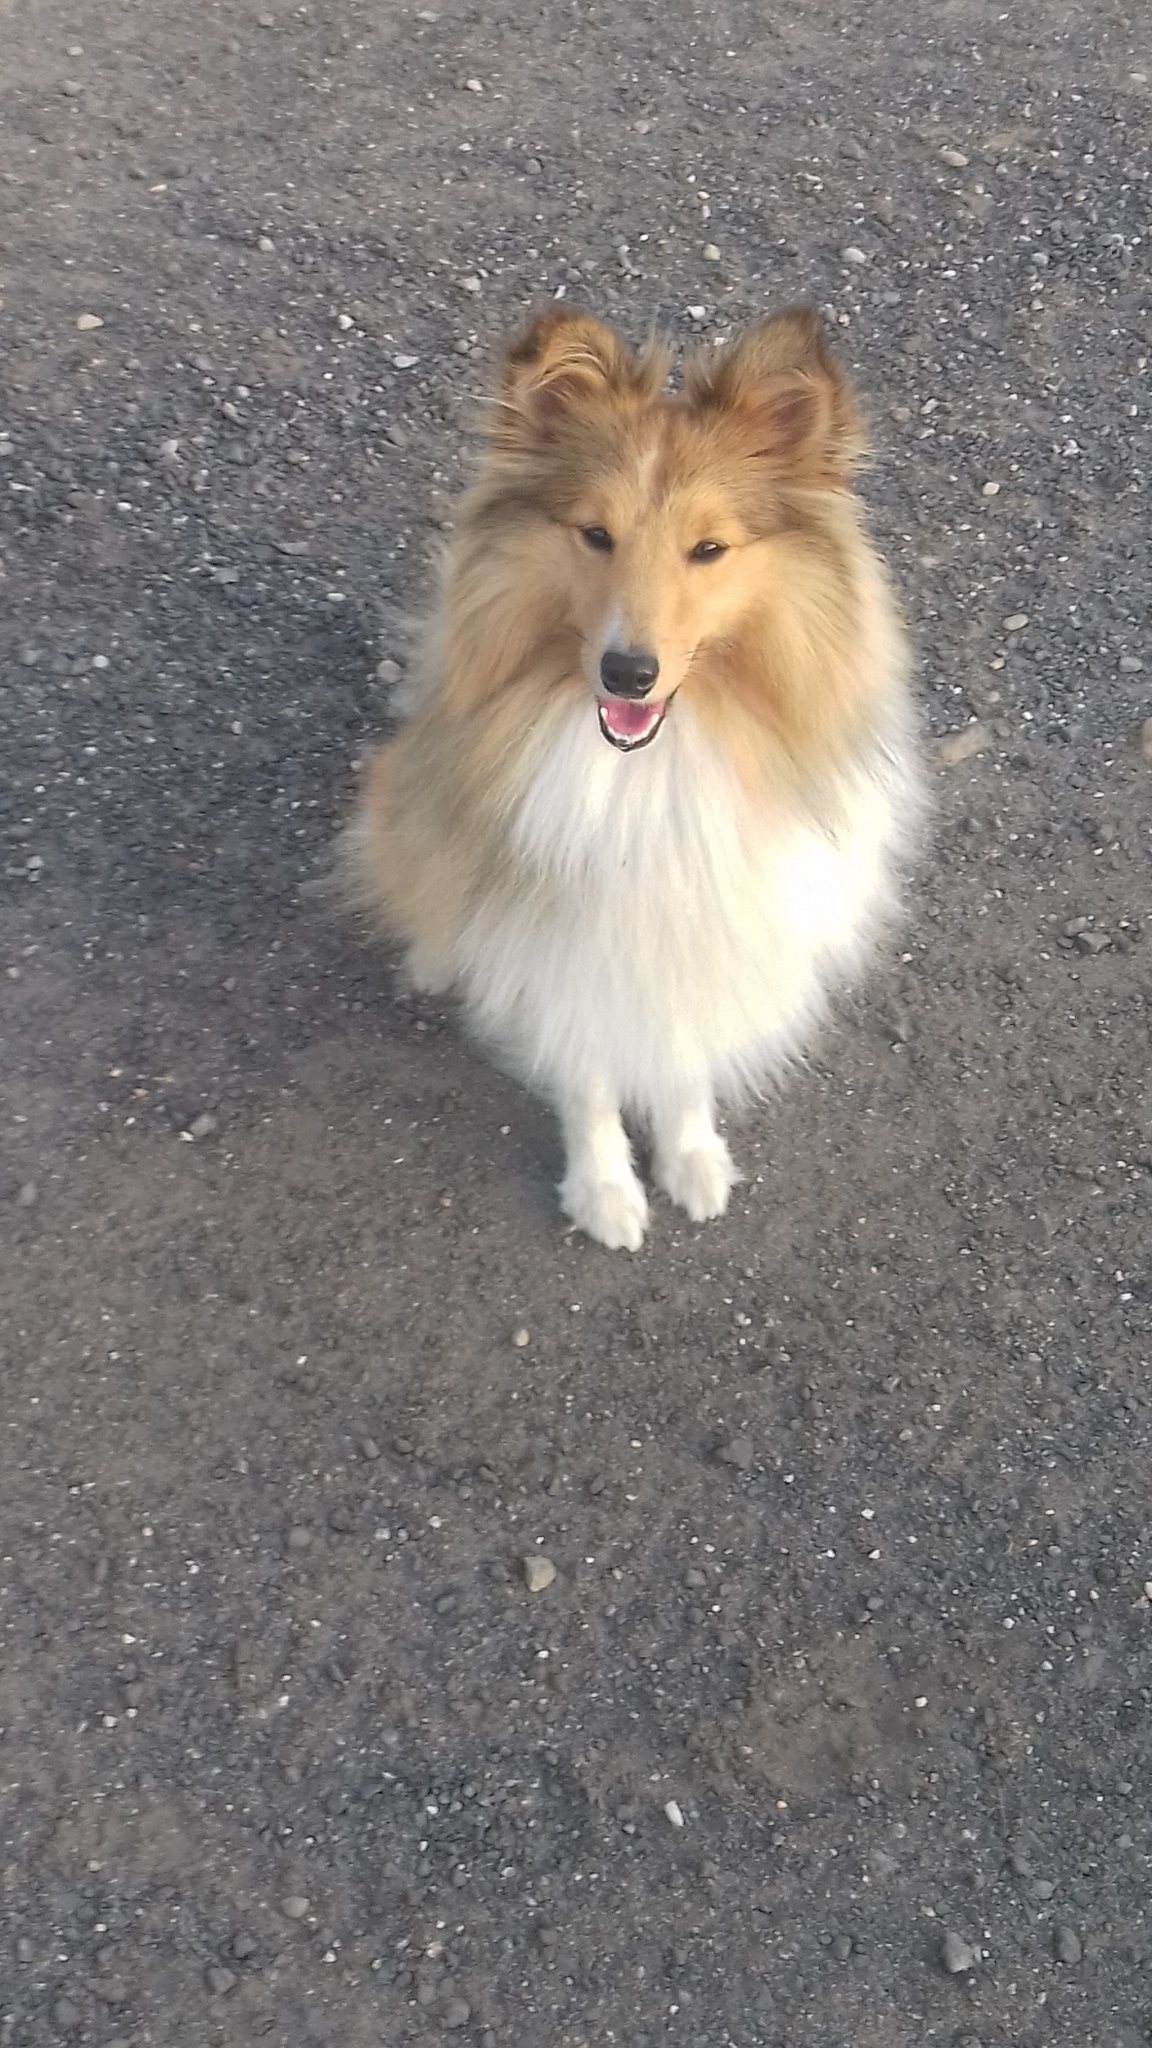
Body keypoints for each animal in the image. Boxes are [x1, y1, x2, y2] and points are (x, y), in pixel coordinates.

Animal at [342, 305, 916, 1249]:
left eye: (709, 548)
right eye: (595, 534)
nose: (628, 674)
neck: (643, 771)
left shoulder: (688, 918)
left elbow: (676, 1047)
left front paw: (691, 1159)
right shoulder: (562, 933)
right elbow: (585, 1071)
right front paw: (605, 1190)